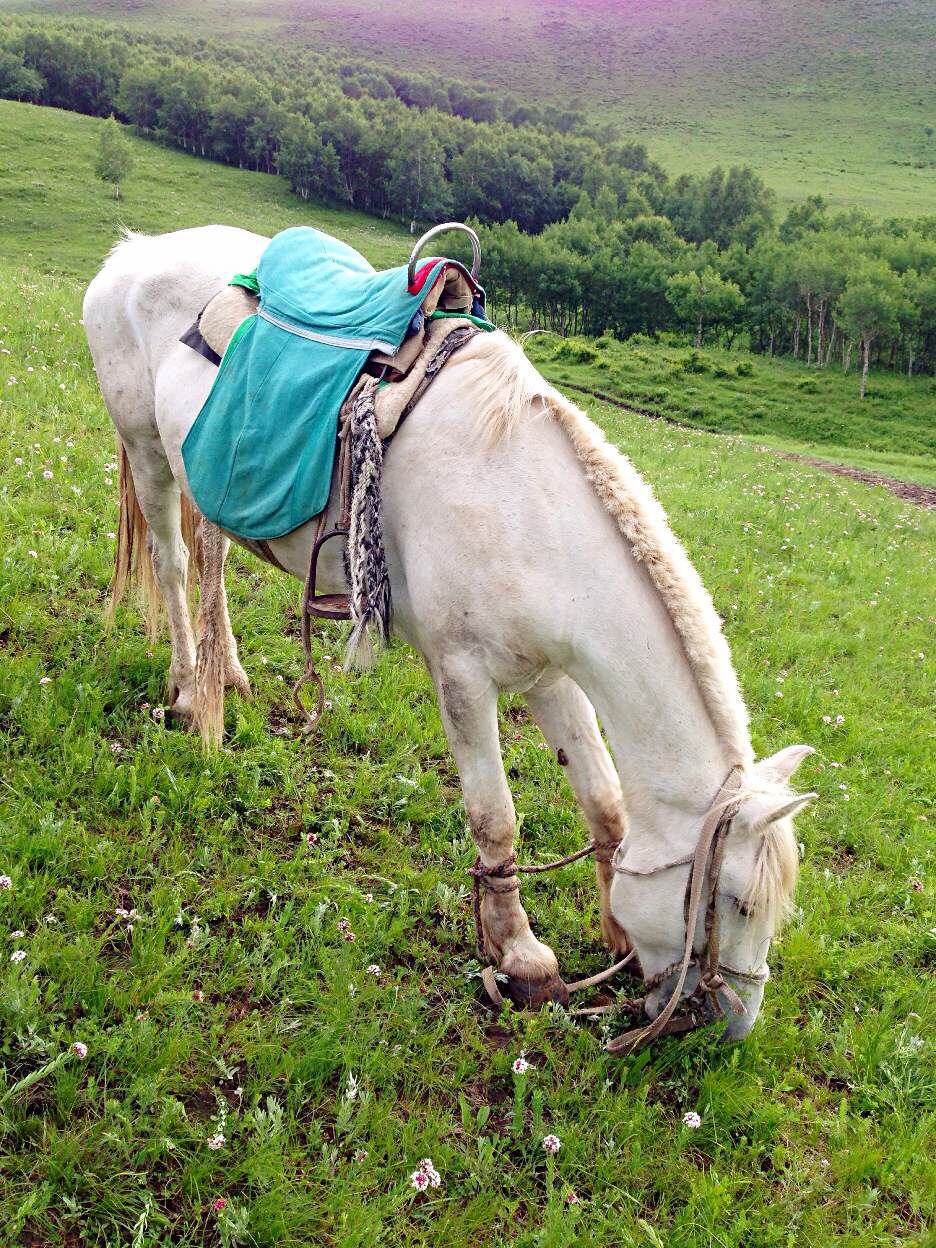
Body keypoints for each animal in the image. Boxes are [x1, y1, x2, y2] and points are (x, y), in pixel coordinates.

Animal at [84, 227, 818, 1043]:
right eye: (739, 903)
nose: (727, 1027)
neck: (522, 512)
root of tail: (133, 253)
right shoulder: (463, 676)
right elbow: (495, 821)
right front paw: (523, 959)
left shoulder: (549, 675)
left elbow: (604, 802)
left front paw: (613, 934)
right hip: (147, 452)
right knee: (175, 565)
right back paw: (189, 691)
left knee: (210, 557)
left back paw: (229, 677)